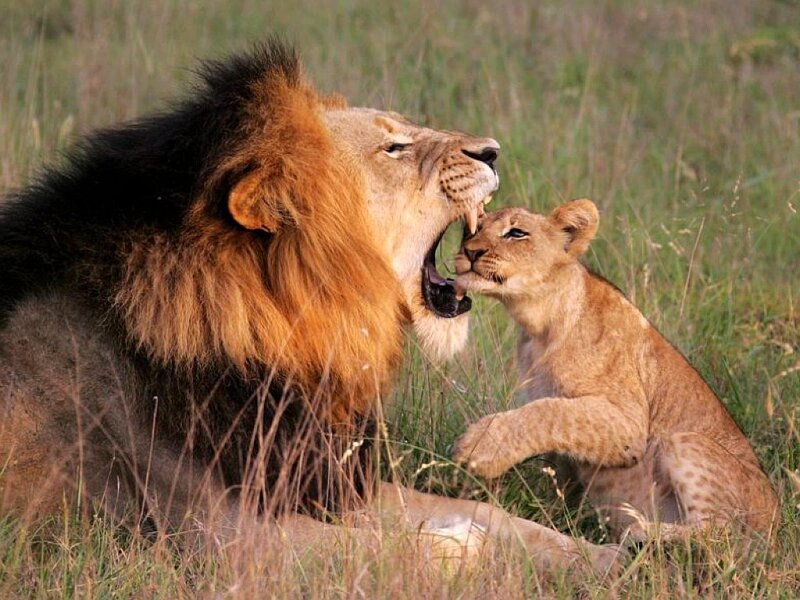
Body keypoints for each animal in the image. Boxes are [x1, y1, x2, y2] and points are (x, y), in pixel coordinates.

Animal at [0, 42, 616, 572]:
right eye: (393, 147)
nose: (492, 150)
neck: (279, 336)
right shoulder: (213, 535)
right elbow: (427, 547)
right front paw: (464, 547)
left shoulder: (322, 474)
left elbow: (490, 513)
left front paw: (605, 559)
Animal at [452, 200, 778, 543]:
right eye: (471, 230)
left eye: (516, 233)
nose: (470, 251)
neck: (539, 327)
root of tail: (776, 525)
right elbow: (557, 463)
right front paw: (555, 516)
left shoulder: (628, 422)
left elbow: (548, 413)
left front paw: (481, 445)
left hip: (687, 441)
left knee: (720, 533)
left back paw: (642, 532)